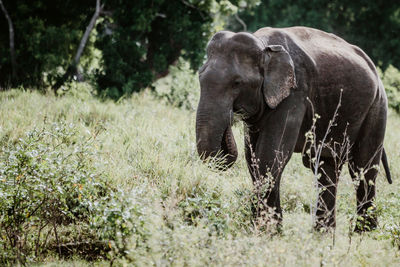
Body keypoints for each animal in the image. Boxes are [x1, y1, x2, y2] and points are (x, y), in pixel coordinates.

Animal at [195, 26, 392, 232]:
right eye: (200, 77)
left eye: (237, 83)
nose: (232, 116)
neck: (265, 46)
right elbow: (253, 157)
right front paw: (266, 228)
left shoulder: (295, 93)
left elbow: (271, 154)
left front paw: (267, 231)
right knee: (327, 169)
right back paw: (323, 234)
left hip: (377, 107)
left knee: (363, 168)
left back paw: (364, 233)